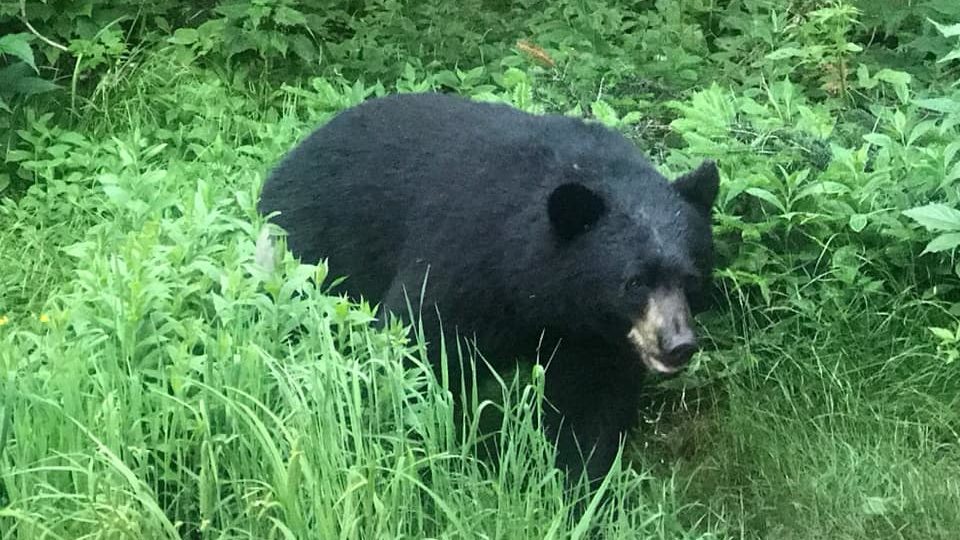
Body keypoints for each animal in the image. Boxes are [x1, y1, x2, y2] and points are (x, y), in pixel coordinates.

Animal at [258, 90, 716, 484]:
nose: (677, 344)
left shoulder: (594, 338)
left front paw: (578, 490)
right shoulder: (467, 258)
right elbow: (416, 349)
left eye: (690, 278)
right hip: (308, 255)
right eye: (634, 282)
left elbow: (591, 406)